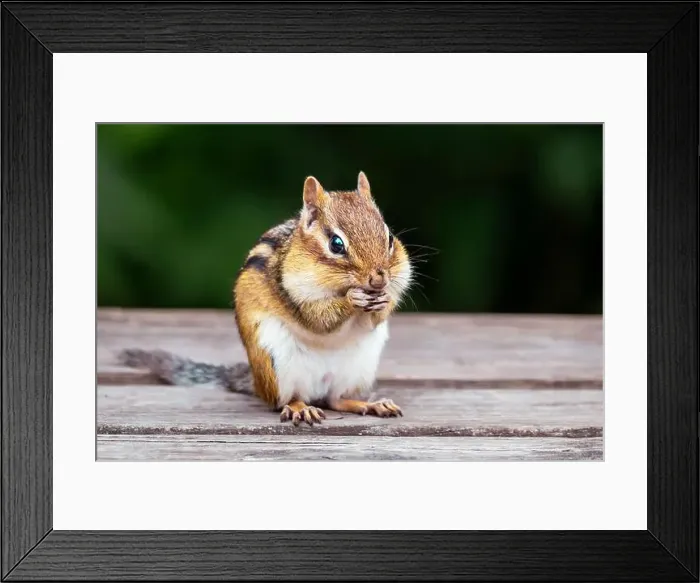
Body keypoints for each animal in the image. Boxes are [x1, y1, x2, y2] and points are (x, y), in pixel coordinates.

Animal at [118, 171, 413, 426]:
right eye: (336, 244)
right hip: (276, 363)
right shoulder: (292, 288)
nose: (378, 279)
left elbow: (373, 319)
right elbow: (318, 319)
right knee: (289, 399)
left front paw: (384, 300)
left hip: (360, 368)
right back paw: (301, 408)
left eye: (389, 237)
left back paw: (371, 404)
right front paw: (352, 298)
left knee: (336, 400)